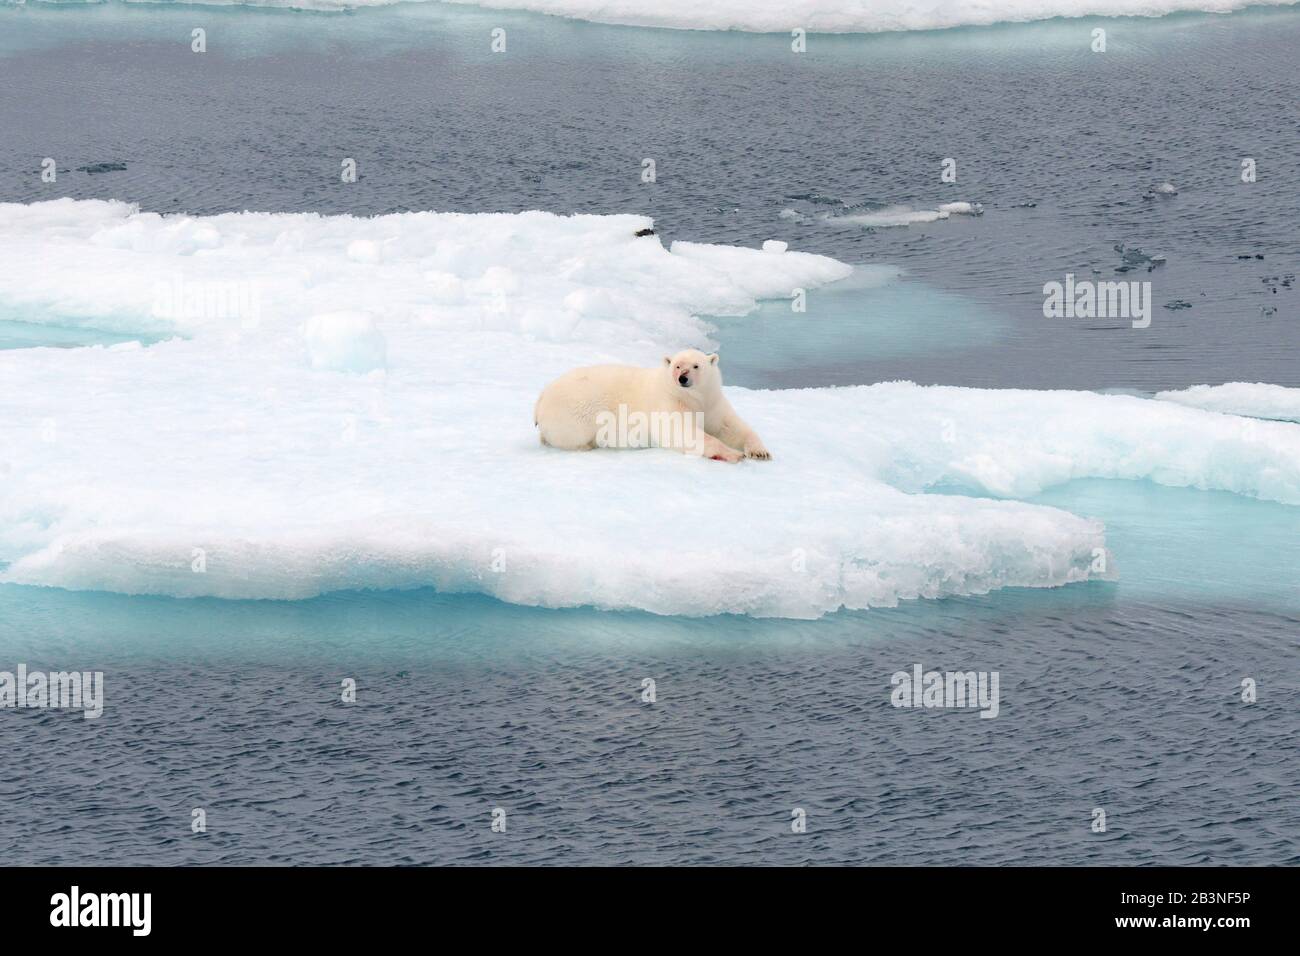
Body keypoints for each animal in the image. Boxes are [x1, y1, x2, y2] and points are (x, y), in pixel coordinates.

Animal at [533, 348, 764, 465]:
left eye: (696, 366)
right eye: (677, 365)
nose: (682, 378)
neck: (692, 398)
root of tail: (541, 397)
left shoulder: (712, 403)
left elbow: (729, 426)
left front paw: (759, 452)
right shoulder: (669, 403)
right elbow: (683, 432)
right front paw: (733, 454)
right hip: (575, 412)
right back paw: (586, 445)